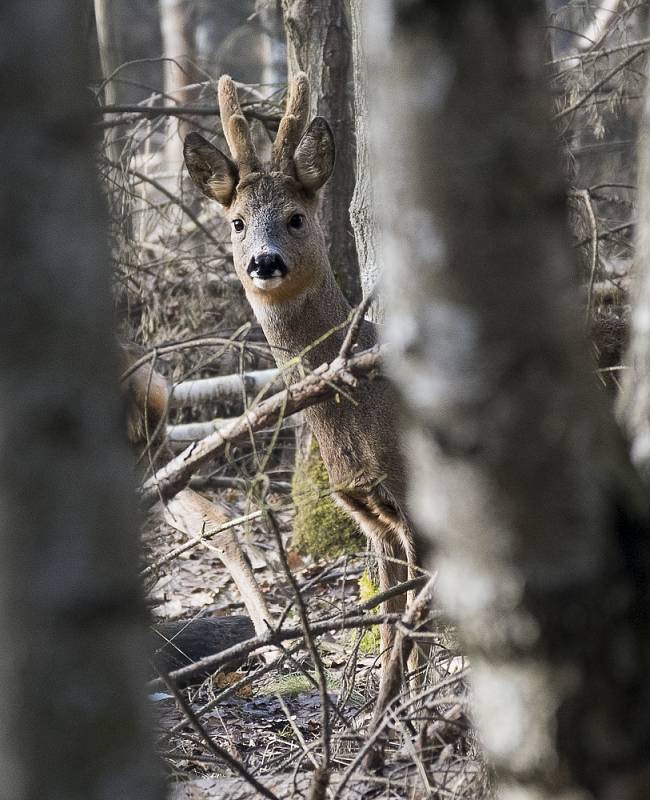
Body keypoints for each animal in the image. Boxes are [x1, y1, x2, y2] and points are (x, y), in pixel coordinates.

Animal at [182, 73, 426, 712]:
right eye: (238, 222)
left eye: (294, 217)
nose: (264, 262)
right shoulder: (374, 516)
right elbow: (392, 620)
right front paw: (389, 711)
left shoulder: (418, 499)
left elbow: (415, 622)